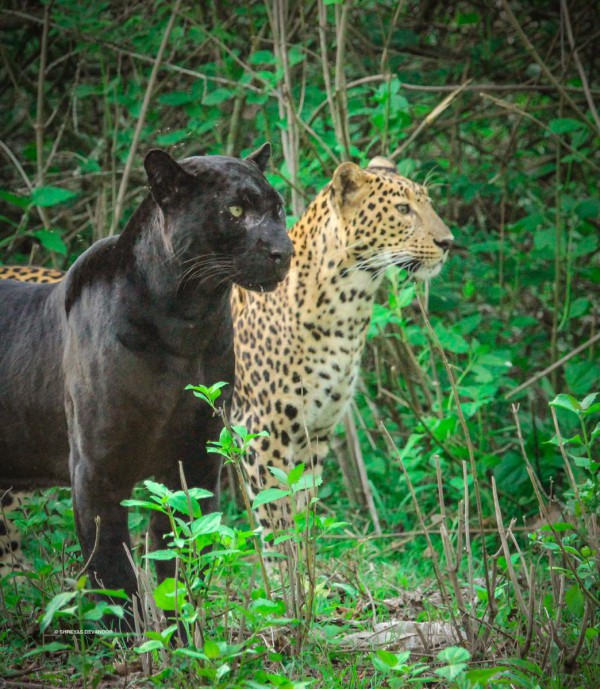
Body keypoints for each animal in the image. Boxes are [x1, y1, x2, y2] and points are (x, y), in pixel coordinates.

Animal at [0, 142, 296, 600]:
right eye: (235, 210)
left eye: (277, 208)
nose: (285, 251)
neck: (186, 321)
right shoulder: (97, 471)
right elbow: (114, 576)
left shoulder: (194, 460)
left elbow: (180, 562)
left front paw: (183, 619)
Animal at [232, 156, 452, 536]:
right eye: (403, 209)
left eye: (428, 203)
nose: (448, 242)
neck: (349, 305)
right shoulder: (261, 434)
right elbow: (279, 525)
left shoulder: (315, 431)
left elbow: (304, 514)